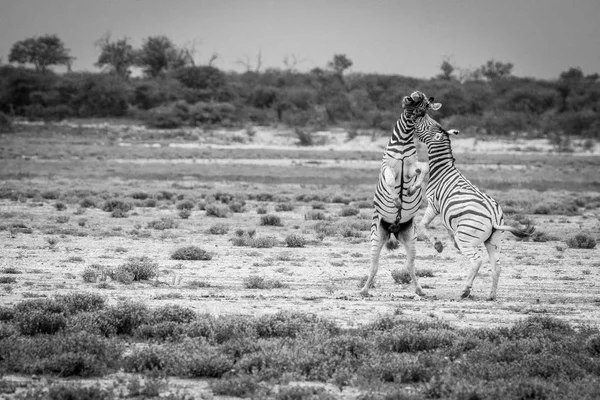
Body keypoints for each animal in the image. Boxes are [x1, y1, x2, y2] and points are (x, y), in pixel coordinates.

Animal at [360, 91, 440, 296]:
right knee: (374, 266)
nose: (413, 97)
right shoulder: (388, 168)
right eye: (415, 98)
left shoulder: (411, 168)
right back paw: (364, 290)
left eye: (425, 105)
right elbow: (389, 180)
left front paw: (412, 189)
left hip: (410, 238)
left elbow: (425, 168)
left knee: (410, 266)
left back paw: (420, 290)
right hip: (376, 237)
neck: (403, 140)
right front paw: (396, 200)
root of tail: (394, 229)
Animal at [412, 112, 536, 300]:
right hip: (493, 241)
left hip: (467, 238)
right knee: (497, 266)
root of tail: (493, 216)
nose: (419, 114)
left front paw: (438, 245)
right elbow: (448, 229)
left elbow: (422, 225)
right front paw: (449, 242)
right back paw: (491, 295)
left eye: (428, 124)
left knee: (477, 260)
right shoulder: (447, 213)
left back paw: (465, 290)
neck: (443, 169)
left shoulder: (433, 204)